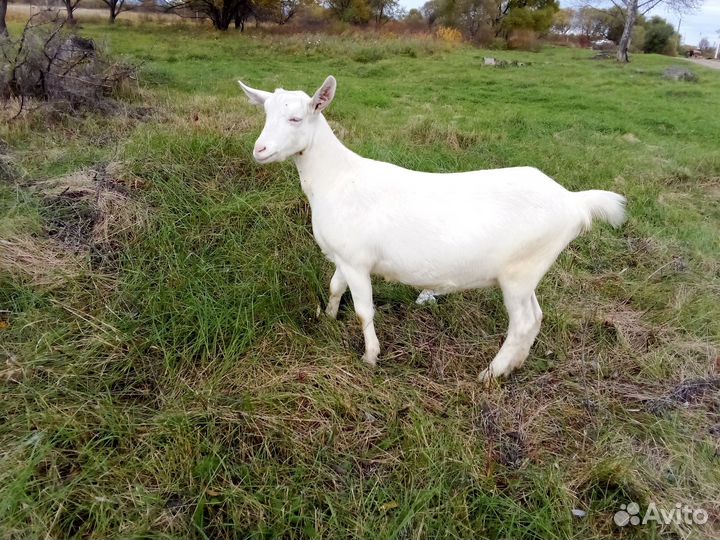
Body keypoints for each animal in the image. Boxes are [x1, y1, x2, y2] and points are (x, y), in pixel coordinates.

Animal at [238, 76, 626, 381]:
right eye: (266, 114)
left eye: (295, 117)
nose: (260, 149)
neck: (337, 178)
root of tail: (574, 202)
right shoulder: (343, 256)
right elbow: (335, 288)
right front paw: (330, 321)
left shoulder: (357, 260)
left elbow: (364, 310)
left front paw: (370, 357)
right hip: (527, 271)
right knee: (536, 316)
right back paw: (514, 366)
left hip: (520, 271)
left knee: (523, 323)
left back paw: (490, 374)